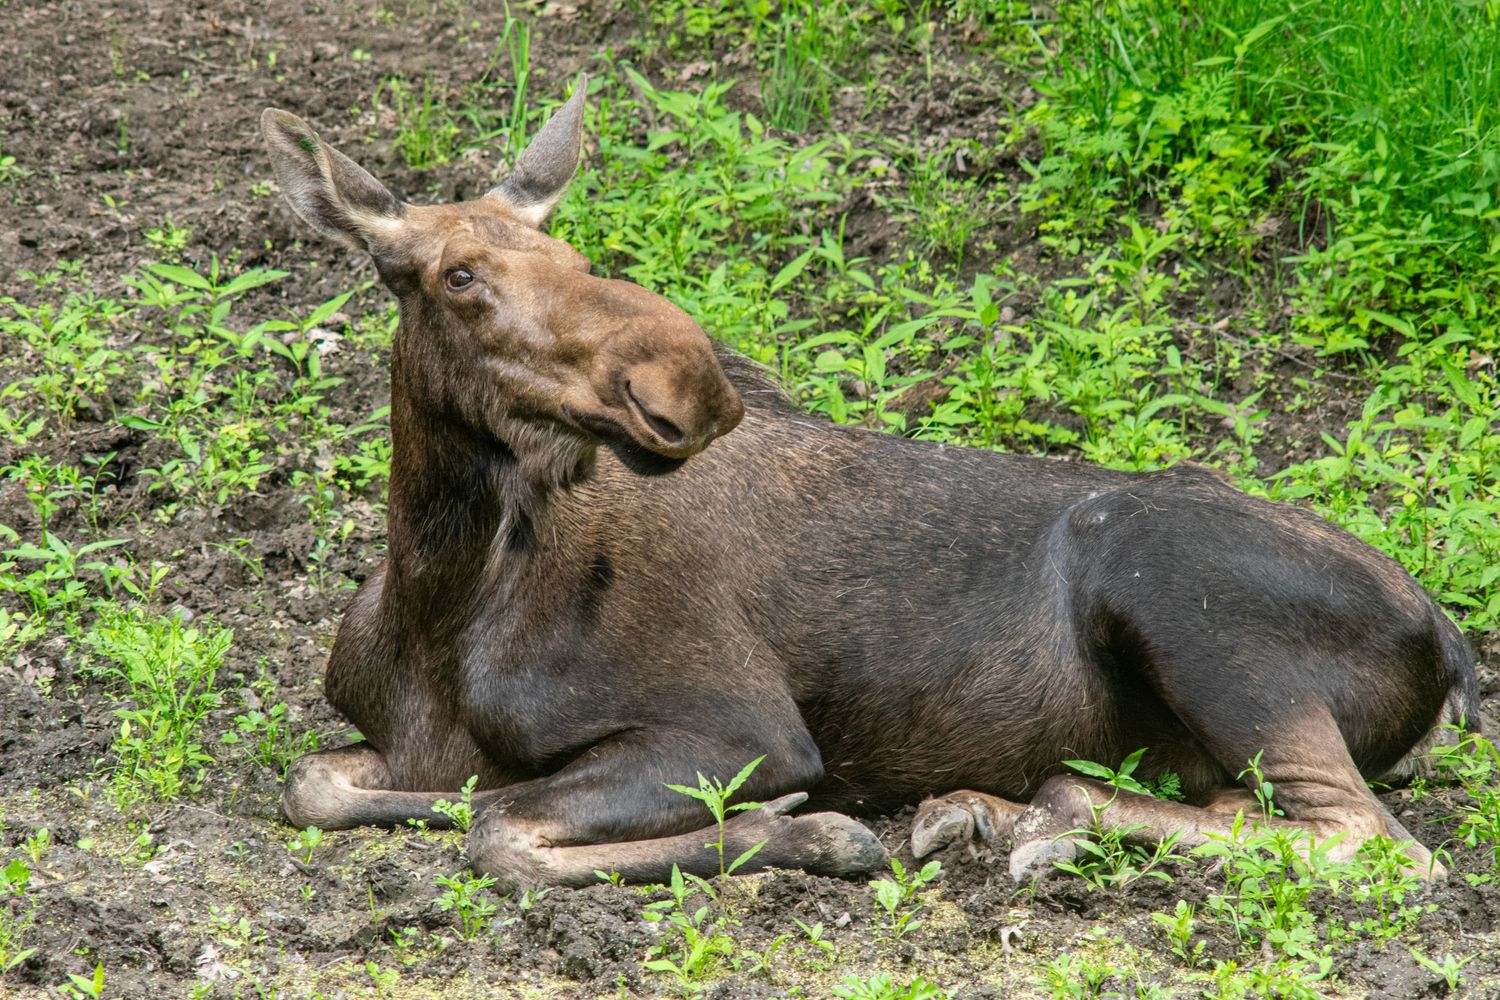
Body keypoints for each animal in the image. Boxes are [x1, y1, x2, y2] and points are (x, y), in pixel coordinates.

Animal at [260, 79, 1480, 891]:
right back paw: (992, 816)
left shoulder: (740, 731)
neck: (442, 597)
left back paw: (1013, 818)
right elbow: (330, 784)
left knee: (1373, 843)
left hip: (1187, 607)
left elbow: (502, 831)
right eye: (460, 276)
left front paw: (813, 831)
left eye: (571, 260)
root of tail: (1448, 640)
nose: (688, 380)